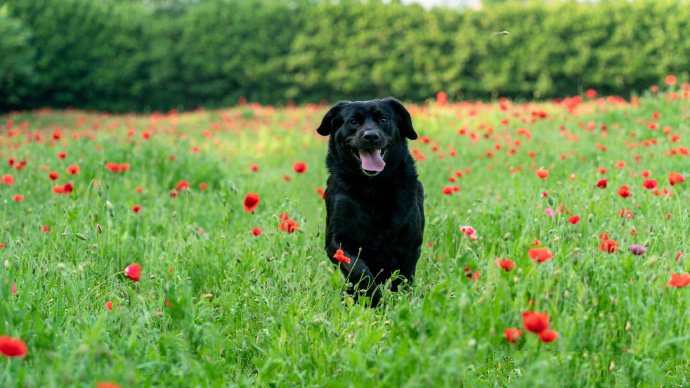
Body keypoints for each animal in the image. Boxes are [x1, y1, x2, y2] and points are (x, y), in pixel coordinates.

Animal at [316, 97, 422, 306]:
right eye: (353, 121)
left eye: (383, 119)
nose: (371, 136)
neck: (373, 187)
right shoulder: (337, 241)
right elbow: (359, 270)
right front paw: (373, 299)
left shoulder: (411, 243)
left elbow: (402, 278)